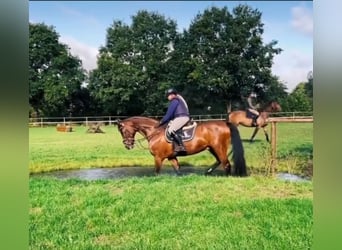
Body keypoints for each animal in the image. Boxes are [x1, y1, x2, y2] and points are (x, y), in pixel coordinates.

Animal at [116, 116, 247, 177]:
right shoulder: (171, 157)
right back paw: (207, 171)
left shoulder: (158, 158)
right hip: (212, 148)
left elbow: (156, 173)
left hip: (219, 148)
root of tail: (225, 123)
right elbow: (177, 170)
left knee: (226, 164)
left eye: (122, 130)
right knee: (219, 161)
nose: (128, 145)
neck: (155, 132)